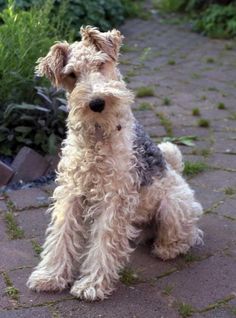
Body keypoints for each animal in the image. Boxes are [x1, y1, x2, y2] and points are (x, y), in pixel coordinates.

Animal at [26, 25, 204, 300]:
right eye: (72, 75)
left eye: (101, 64)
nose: (97, 103)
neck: (98, 139)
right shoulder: (70, 193)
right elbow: (61, 235)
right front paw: (51, 276)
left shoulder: (114, 198)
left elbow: (104, 242)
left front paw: (91, 285)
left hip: (173, 207)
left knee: (188, 233)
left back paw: (166, 249)